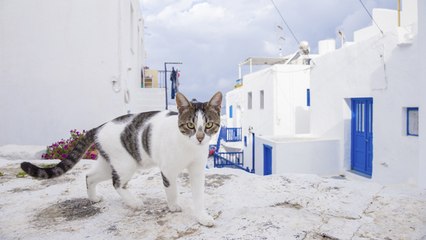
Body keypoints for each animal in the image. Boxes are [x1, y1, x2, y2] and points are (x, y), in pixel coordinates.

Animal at [19, 91, 221, 226]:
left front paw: (202, 217)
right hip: (126, 164)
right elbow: (172, 190)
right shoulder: (168, 170)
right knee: (116, 183)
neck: (189, 147)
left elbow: (198, 195)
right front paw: (173, 206)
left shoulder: (197, 170)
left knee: (89, 176)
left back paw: (93, 198)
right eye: (190, 125)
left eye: (209, 125)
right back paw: (134, 202)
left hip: (108, 163)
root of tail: (99, 127)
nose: (200, 138)